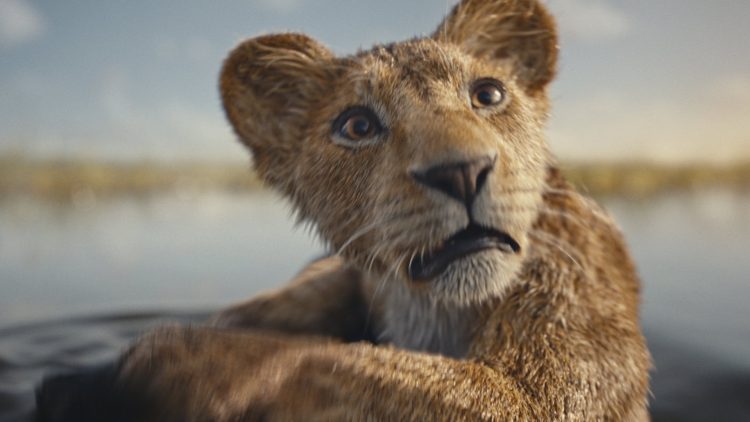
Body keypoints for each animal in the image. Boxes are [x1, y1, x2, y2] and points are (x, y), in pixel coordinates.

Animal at [36, 0, 651, 420]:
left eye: (489, 94)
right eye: (357, 125)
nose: (461, 171)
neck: (431, 308)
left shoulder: (552, 384)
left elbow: (333, 362)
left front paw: (174, 361)